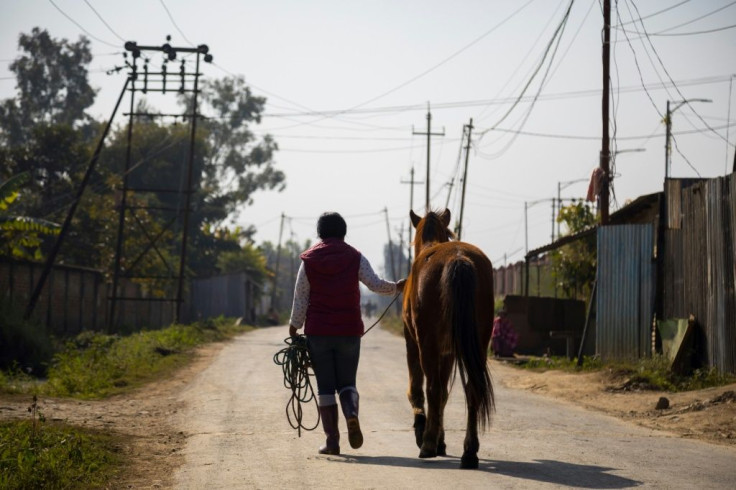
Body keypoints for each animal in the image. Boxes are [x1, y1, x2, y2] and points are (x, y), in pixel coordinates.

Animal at [402, 209, 494, 468]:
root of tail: (459, 259)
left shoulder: (414, 343)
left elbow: (419, 389)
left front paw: (424, 431)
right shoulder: (449, 352)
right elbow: (444, 393)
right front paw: (440, 440)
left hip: (427, 345)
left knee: (432, 388)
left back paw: (427, 444)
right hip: (478, 344)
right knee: (472, 388)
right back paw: (469, 452)